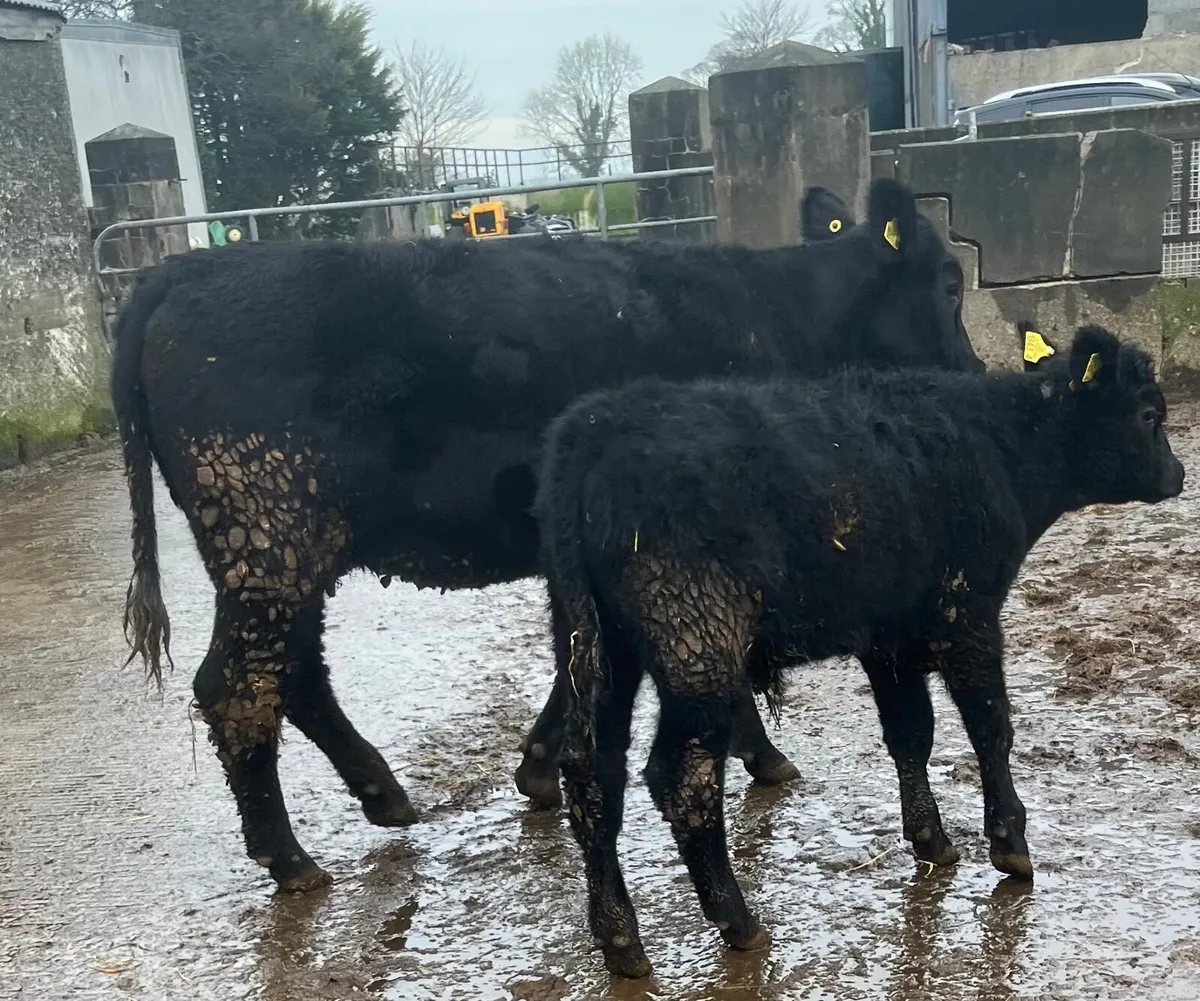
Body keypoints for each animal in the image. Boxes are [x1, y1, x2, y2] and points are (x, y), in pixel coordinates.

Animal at [111, 177, 982, 892]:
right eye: (949, 283)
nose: (974, 374)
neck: (774, 316)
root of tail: (179, 272)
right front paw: (759, 752)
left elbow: (580, 655)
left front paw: (538, 768)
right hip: (267, 532)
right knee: (237, 686)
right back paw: (289, 856)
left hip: (286, 548)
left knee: (294, 672)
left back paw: (380, 793)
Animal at [534, 325, 1184, 978]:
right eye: (1149, 415)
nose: (1178, 474)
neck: (998, 447)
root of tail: (595, 427)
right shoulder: (968, 613)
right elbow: (990, 727)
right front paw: (1010, 845)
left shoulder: (890, 639)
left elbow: (911, 734)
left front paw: (932, 840)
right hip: (697, 643)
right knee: (683, 781)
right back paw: (737, 921)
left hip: (597, 650)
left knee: (593, 774)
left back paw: (620, 939)